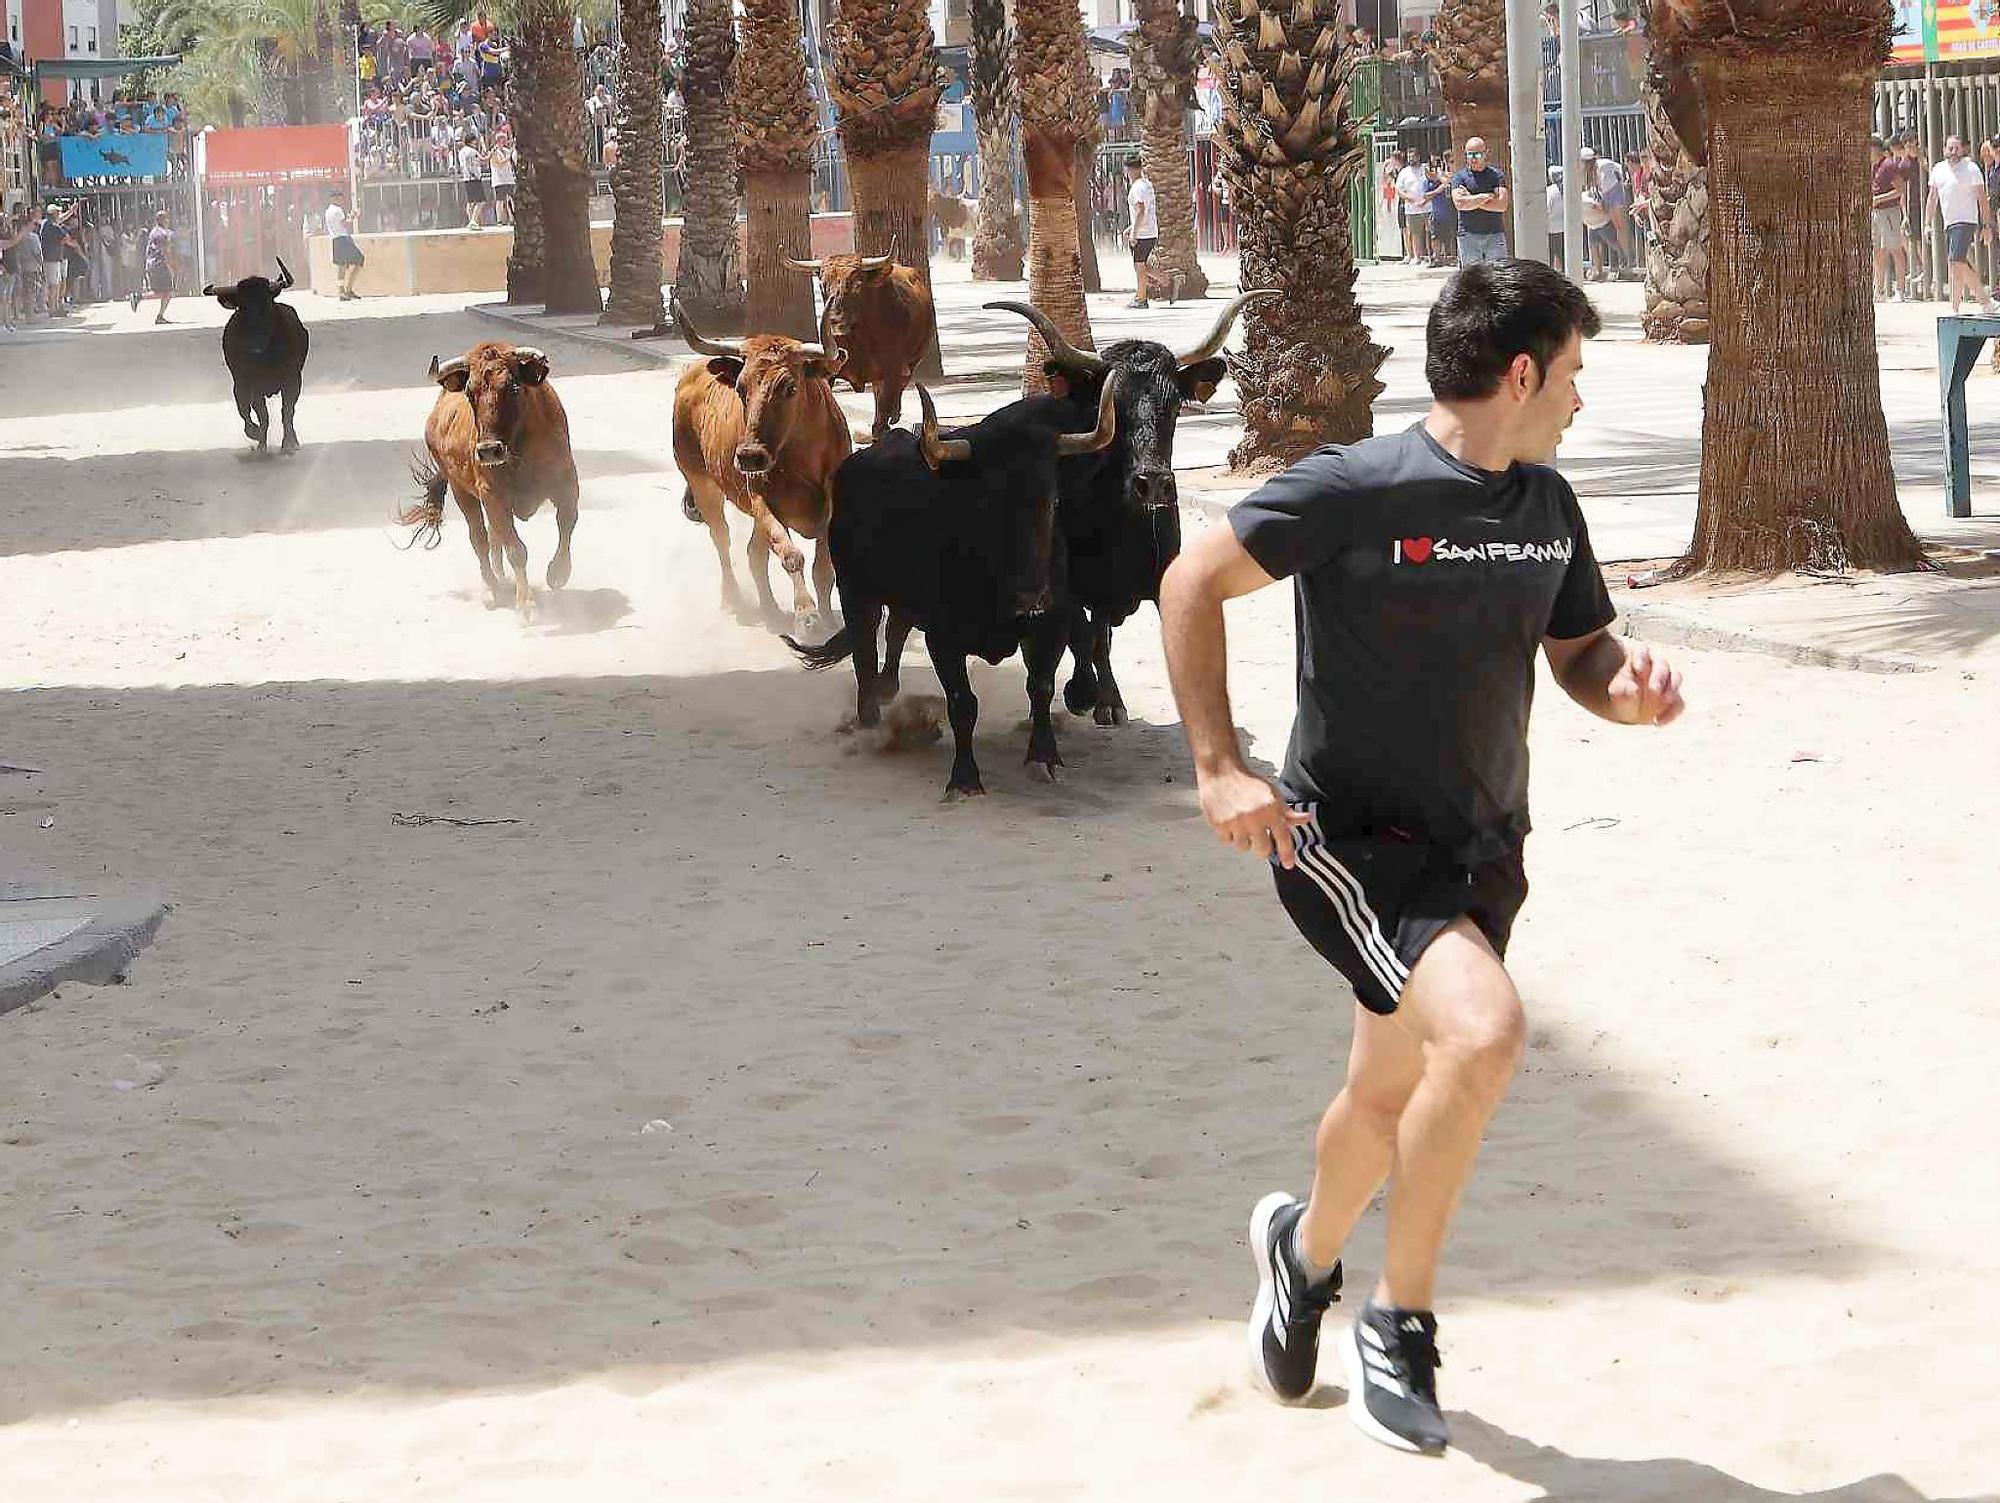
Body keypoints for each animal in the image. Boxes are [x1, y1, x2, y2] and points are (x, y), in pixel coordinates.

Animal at [205, 257, 314, 451]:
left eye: (267, 304)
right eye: (242, 307)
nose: (255, 347)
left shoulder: (292, 380)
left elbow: (287, 411)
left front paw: (289, 443)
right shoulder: (251, 383)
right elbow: (261, 414)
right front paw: (260, 442)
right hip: (240, 383)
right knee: (244, 408)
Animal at [400, 339, 584, 623]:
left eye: (514, 387)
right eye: (469, 392)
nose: (488, 451)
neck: (518, 449)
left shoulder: (566, 484)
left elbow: (566, 524)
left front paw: (558, 573)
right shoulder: (493, 496)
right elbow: (516, 549)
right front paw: (526, 604)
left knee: (492, 537)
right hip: (462, 492)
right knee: (480, 539)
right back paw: (493, 589)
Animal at [672, 299, 852, 635]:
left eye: (790, 387)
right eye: (741, 388)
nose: (749, 456)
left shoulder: (832, 507)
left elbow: (823, 567)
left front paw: (829, 617)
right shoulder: (761, 500)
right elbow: (791, 555)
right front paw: (806, 615)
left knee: (754, 554)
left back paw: (769, 608)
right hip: (702, 484)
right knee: (723, 539)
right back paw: (733, 598)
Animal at [780, 375, 1128, 799]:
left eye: (1052, 499)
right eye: (986, 501)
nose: (1030, 595)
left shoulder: (1051, 624)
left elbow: (1041, 687)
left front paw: (1043, 758)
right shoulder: (943, 638)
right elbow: (963, 703)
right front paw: (964, 778)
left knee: (895, 630)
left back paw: (887, 688)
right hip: (855, 592)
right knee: (864, 652)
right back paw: (870, 720)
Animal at [984, 291, 1280, 727]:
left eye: (1173, 405)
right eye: (1112, 407)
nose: (1152, 482)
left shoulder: (1160, 575)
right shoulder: (1074, 586)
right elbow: (1086, 638)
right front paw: (1090, 695)